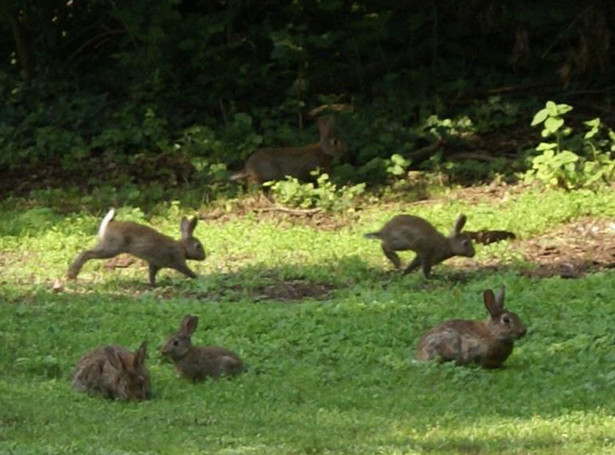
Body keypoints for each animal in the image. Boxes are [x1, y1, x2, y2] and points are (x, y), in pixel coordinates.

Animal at [67, 209, 206, 286]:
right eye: (198, 246)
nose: (204, 257)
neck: (182, 247)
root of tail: (107, 225)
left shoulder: (154, 264)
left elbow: (151, 275)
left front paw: (153, 285)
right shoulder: (178, 261)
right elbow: (187, 270)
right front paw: (198, 277)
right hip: (112, 248)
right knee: (87, 253)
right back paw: (72, 274)